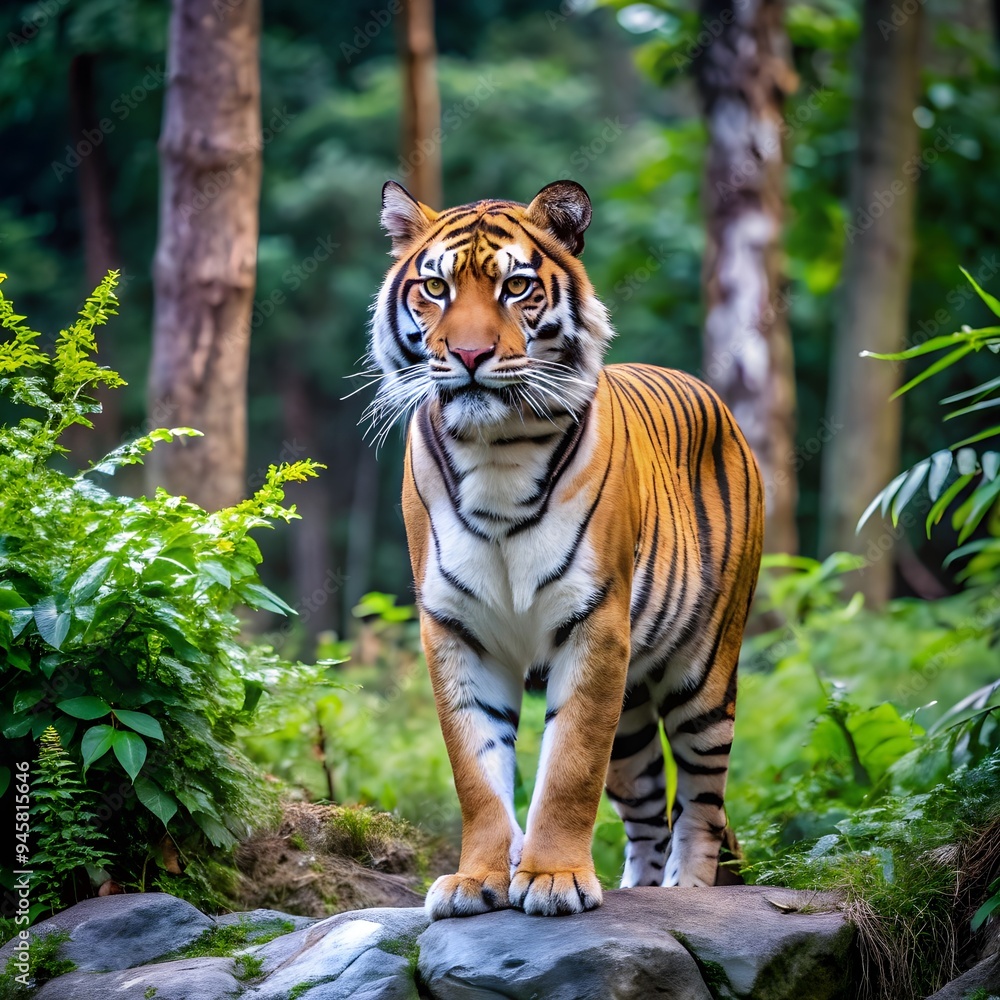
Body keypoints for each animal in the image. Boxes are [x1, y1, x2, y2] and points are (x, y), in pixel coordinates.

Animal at [367, 179, 764, 919]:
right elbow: (476, 771)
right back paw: (637, 886)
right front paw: (475, 879)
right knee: (647, 809)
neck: (495, 450)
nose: (468, 356)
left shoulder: (594, 623)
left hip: (703, 673)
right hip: (632, 710)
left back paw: (687, 892)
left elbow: (570, 767)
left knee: (701, 802)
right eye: (434, 288)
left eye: (516, 286)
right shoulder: (455, 629)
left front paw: (551, 878)